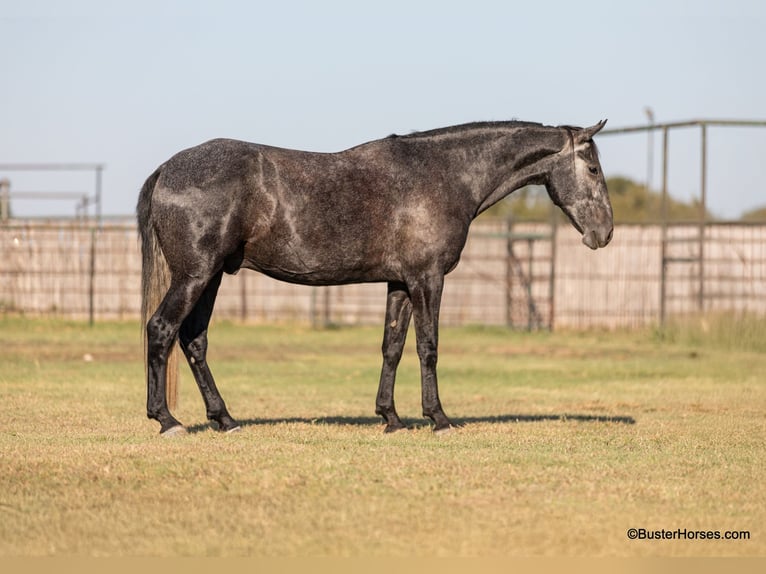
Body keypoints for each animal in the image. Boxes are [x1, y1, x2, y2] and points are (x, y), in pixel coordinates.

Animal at [137, 120, 613, 436]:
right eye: (592, 169)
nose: (604, 233)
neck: (442, 175)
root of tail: (168, 169)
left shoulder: (400, 283)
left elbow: (392, 347)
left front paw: (391, 417)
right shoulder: (427, 279)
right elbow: (428, 347)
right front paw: (438, 418)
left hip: (212, 277)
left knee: (193, 341)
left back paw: (225, 419)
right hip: (195, 275)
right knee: (161, 330)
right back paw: (168, 420)